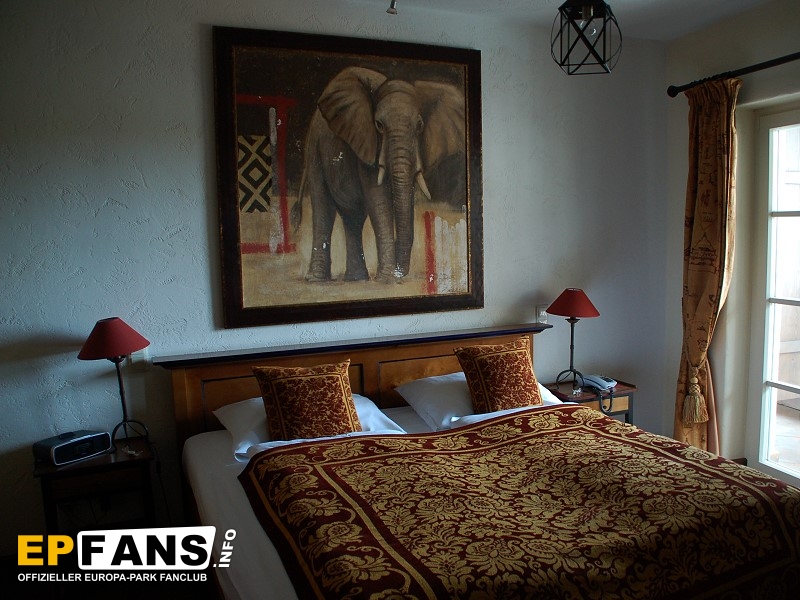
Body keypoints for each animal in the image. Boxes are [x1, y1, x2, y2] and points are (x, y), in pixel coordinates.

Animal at [291, 66, 465, 283]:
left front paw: (386, 277)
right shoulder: (367, 141)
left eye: (419, 126)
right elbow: (378, 200)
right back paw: (317, 279)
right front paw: (388, 279)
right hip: (314, 150)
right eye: (379, 125)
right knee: (323, 205)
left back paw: (356, 279)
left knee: (353, 217)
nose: (401, 274)